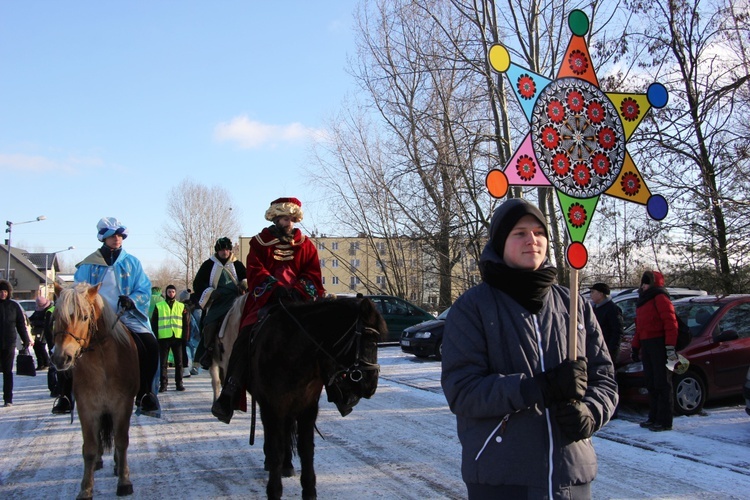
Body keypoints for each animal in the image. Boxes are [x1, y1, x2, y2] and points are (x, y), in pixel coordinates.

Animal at [50, 284, 140, 498]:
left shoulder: (122, 405)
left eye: (84, 316)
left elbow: (122, 441)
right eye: (56, 315)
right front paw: (85, 489)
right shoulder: (87, 407)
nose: (61, 358)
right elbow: (89, 448)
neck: (103, 365)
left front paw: (124, 481)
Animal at [245, 298, 388, 498]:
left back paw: (287, 465)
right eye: (369, 341)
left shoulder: (307, 408)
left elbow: (306, 450)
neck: (292, 354)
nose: (371, 386)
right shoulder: (272, 407)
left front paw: (309, 490)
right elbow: (276, 450)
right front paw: (274, 490)